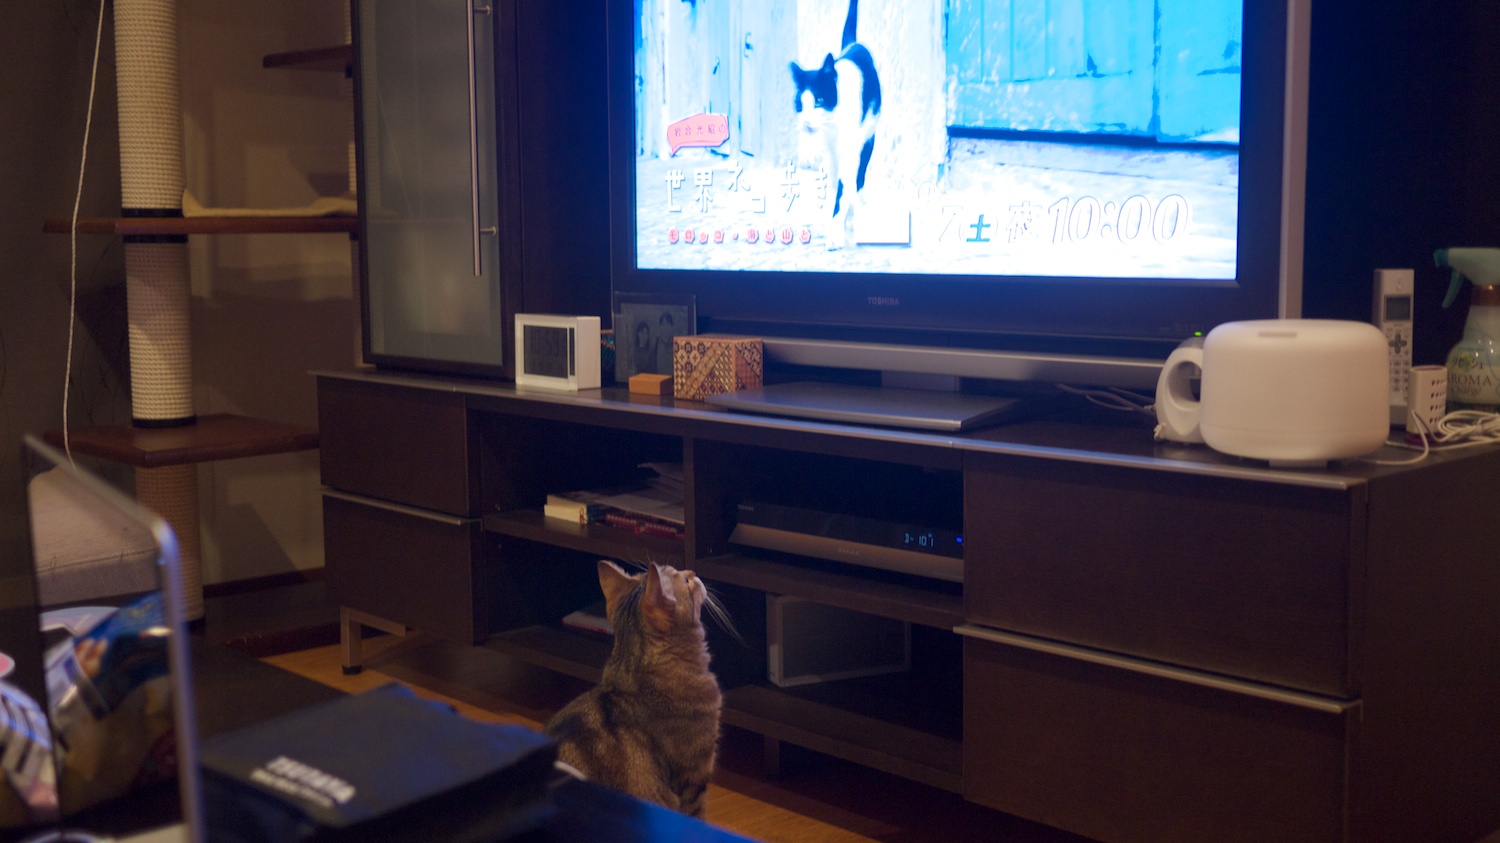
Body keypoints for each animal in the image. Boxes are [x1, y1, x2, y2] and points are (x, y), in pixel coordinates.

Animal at [789, 0, 881, 250]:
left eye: (820, 100)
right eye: (800, 104)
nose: (807, 122)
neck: (834, 122)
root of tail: (852, 45)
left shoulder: (851, 147)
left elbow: (845, 190)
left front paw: (837, 233)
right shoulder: (829, 147)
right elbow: (835, 188)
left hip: (868, 137)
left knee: (859, 177)